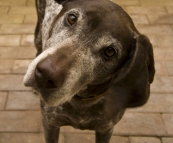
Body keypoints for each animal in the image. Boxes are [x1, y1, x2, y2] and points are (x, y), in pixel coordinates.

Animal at [23, 0, 155, 143]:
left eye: (110, 51)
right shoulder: (50, 124)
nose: (45, 75)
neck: (82, 100)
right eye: (72, 18)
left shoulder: (105, 129)